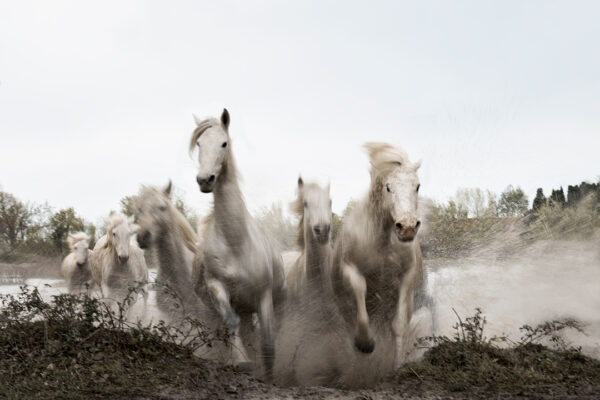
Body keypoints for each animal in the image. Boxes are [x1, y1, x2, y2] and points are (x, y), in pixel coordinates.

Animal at [191, 108, 288, 378]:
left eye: (224, 143)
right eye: (199, 143)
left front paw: (269, 375)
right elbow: (231, 323)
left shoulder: (263, 296)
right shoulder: (218, 287)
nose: (205, 180)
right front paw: (241, 362)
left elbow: (268, 339)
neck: (235, 242)